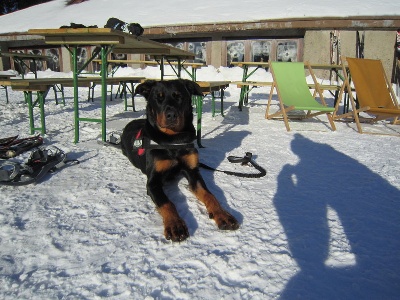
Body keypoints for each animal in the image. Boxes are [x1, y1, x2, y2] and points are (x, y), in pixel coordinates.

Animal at [121, 79, 241, 241]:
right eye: (158, 98)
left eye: (179, 97)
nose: (171, 115)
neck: (173, 140)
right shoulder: (153, 182)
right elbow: (167, 203)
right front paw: (175, 225)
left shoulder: (193, 172)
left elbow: (210, 195)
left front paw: (222, 215)